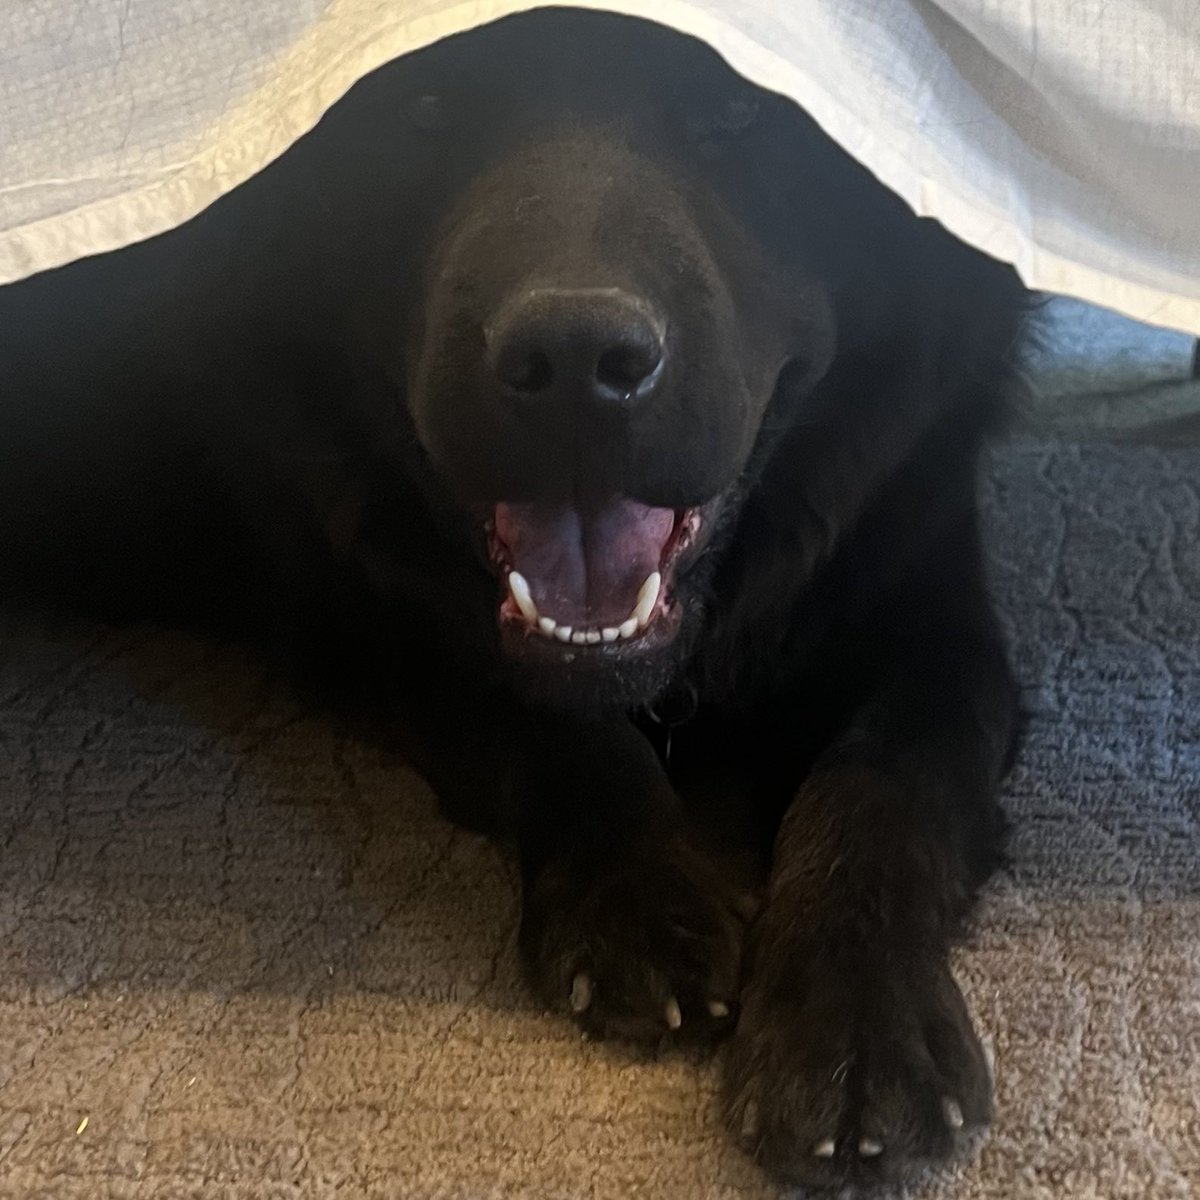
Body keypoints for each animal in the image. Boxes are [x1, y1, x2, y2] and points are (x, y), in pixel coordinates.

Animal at [0, 8, 1029, 1189]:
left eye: (743, 106)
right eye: (424, 105)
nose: (578, 360)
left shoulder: (937, 618)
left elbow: (884, 783)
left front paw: (853, 1020)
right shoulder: (365, 616)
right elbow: (548, 729)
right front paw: (640, 895)